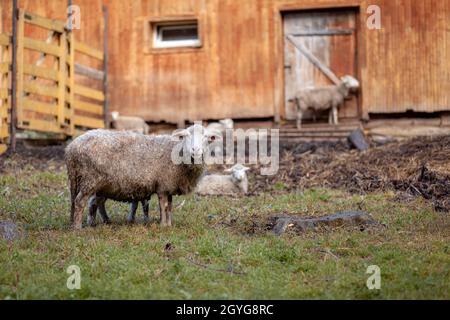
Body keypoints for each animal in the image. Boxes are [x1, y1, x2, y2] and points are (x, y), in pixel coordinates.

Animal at [64, 124, 220, 230]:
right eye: (185, 136)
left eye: (207, 138)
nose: (195, 150)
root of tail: (71, 148)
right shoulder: (162, 185)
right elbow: (163, 206)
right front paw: (163, 225)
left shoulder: (168, 185)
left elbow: (169, 207)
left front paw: (169, 224)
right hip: (90, 179)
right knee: (79, 202)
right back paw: (78, 228)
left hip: (100, 183)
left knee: (92, 203)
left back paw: (95, 222)